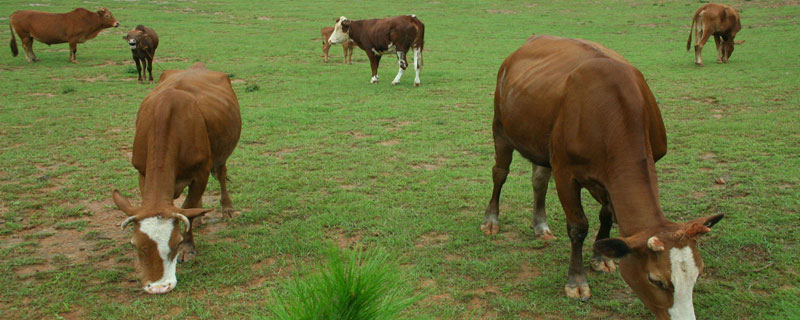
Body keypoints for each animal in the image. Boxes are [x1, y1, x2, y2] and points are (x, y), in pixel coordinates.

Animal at [111, 62, 241, 296]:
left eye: (176, 242)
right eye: (134, 244)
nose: (158, 287)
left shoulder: (201, 172)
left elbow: (188, 205)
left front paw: (188, 247)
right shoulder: (142, 172)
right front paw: (195, 219)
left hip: (221, 154)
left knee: (221, 175)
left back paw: (226, 208)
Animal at [482, 33, 724, 318]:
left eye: (699, 275)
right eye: (655, 280)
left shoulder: (611, 180)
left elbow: (606, 216)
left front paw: (602, 258)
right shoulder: (565, 172)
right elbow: (578, 227)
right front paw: (576, 281)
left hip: (541, 142)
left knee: (539, 179)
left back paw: (540, 226)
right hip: (500, 126)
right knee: (500, 173)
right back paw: (491, 220)